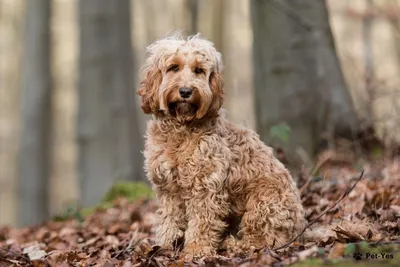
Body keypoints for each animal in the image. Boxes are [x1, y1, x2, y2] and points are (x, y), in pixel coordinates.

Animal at [138, 34, 306, 262]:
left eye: (199, 70)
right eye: (174, 67)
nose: (185, 91)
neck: (180, 128)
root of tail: (301, 226)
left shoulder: (205, 186)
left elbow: (202, 222)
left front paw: (196, 250)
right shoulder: (168, 189)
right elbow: (170, 219)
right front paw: (165, 244)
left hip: (263, 203)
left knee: (261, 241)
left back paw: (231, 244)